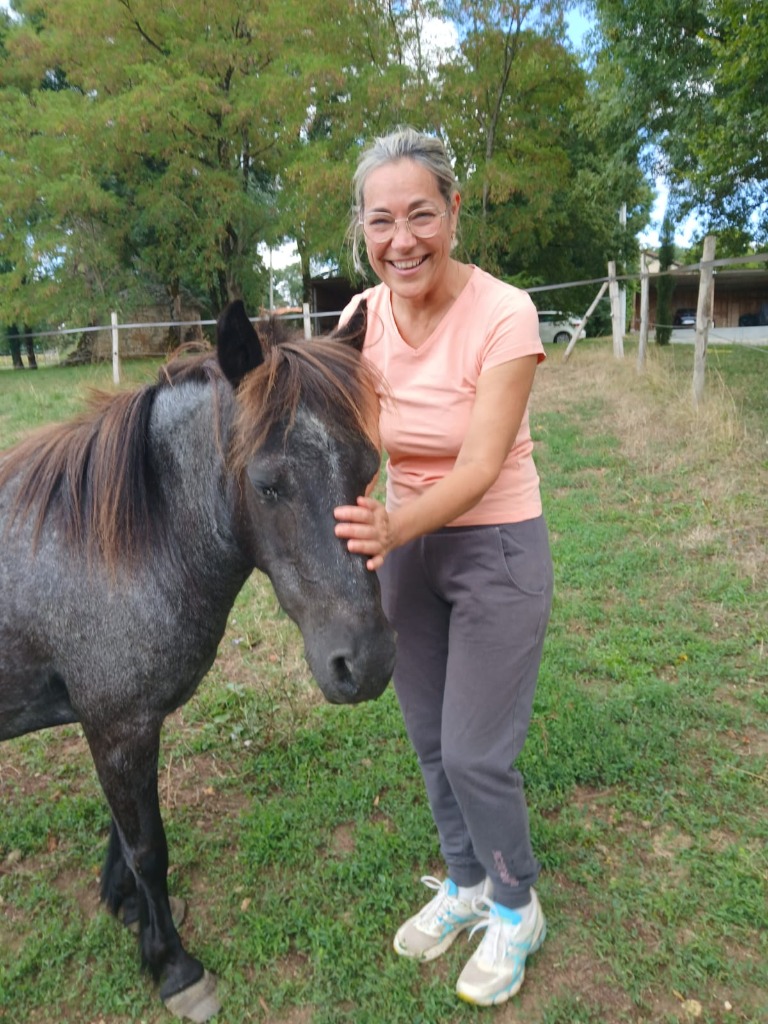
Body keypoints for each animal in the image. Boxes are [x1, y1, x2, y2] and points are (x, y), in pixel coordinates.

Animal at [0, 299, 395, 1022]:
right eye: (268, 485)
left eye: (365, 468)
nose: (369, 662)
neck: (110, 544)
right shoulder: (119, 727)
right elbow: (147, 846)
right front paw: (174, 965)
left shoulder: (119, 726)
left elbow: (123, 835)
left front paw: (128, 911)